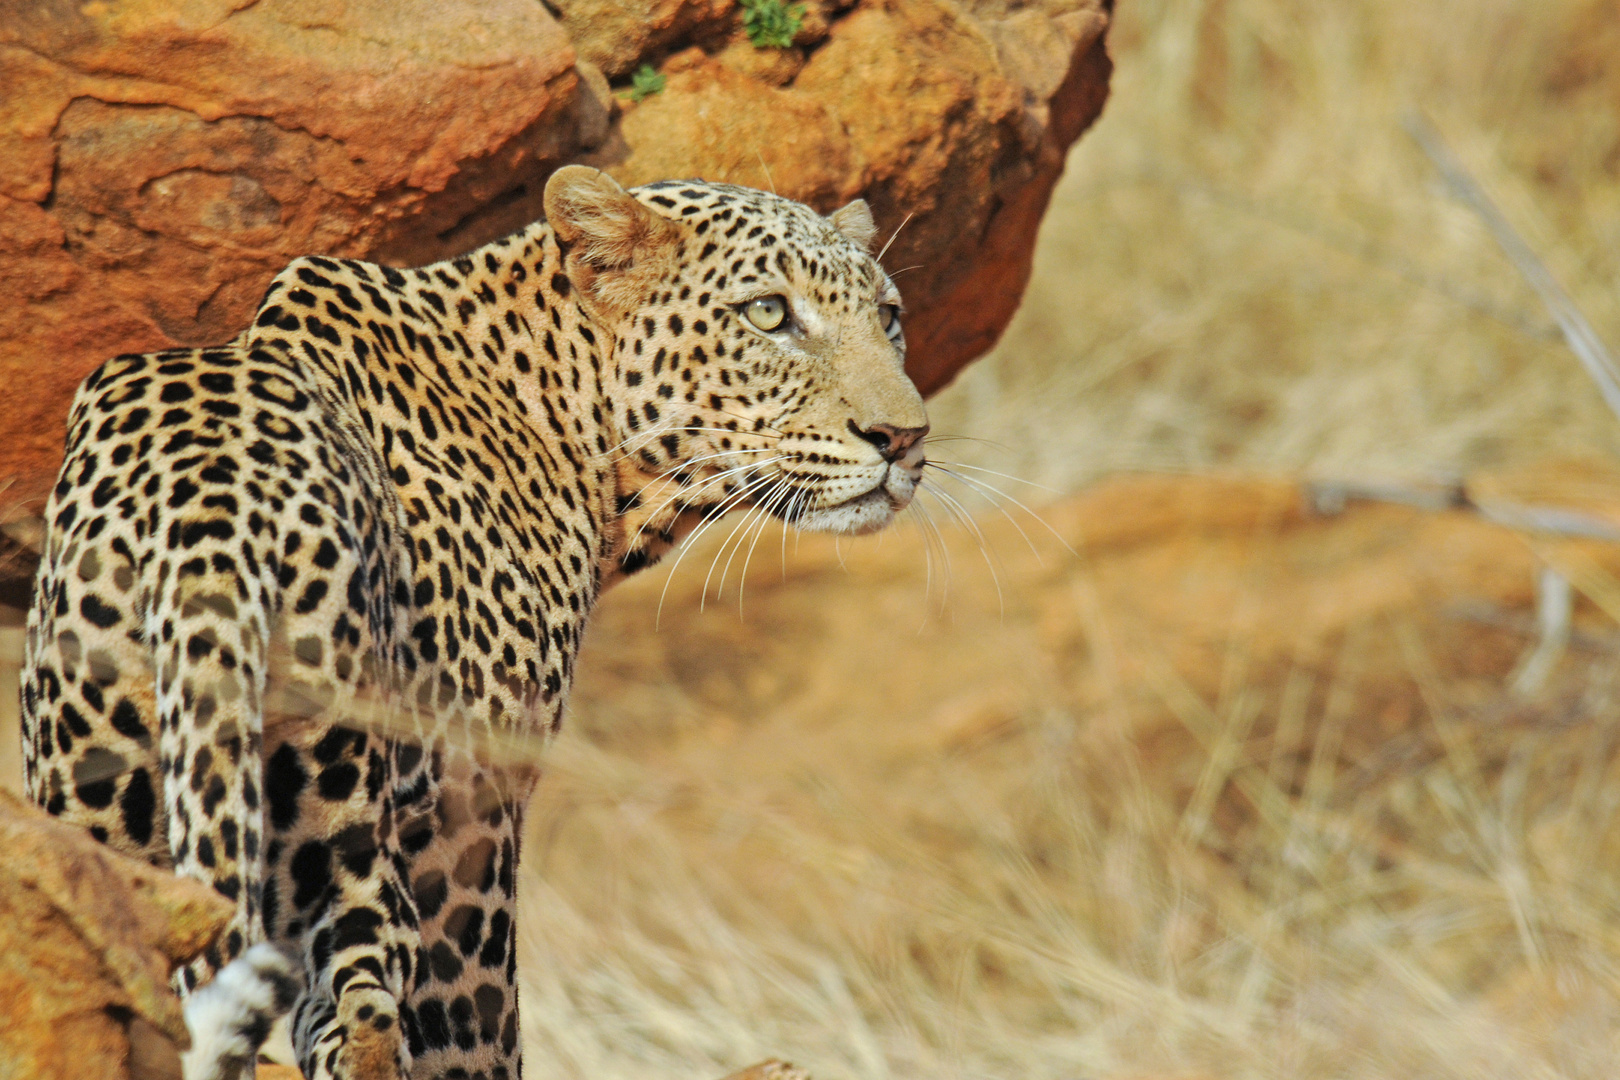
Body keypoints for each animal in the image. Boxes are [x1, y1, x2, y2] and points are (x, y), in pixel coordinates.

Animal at [19, 166, 933, 1080]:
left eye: (889, 316)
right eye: (769, 314)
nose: (904, 437)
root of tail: (206, 513)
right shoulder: (475, 812)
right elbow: (478, 1025)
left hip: (97, 800)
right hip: (352, 809)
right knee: (362, 1011)